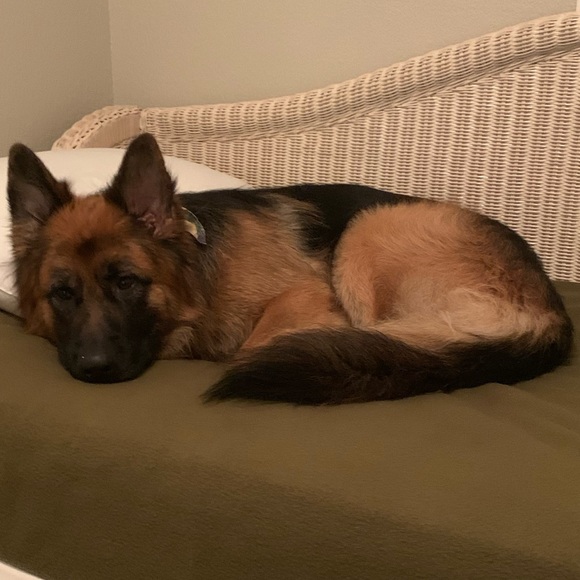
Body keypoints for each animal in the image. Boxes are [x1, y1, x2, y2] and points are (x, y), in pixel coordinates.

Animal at [6, 133, 573, 404]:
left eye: (126, 283)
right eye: (62, 294)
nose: (93, 369)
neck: (204, 282)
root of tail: (550, 313)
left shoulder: (308, 298)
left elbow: (254, 345)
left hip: (369, 229)